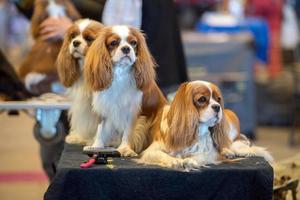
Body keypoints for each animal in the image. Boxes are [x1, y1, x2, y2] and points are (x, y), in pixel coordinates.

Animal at [82, 25, 166, 156]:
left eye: (134, 43)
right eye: (113, 43)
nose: (126, 48)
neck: (120, 73)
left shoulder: (131, 111)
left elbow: (127, 131)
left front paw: (125, 148)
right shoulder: (103, 106)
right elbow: (100, 128)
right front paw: (97, 146)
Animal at [139, 80, 274, 171]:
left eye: (218, 99)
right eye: (202, 99)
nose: (217, 107)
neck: (197, 129)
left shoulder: (209, 152)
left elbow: (202, 155)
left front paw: (190, 160)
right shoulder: (151, 150)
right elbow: (160, 154)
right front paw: (174, 161)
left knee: (230, 142)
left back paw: (228, 150)